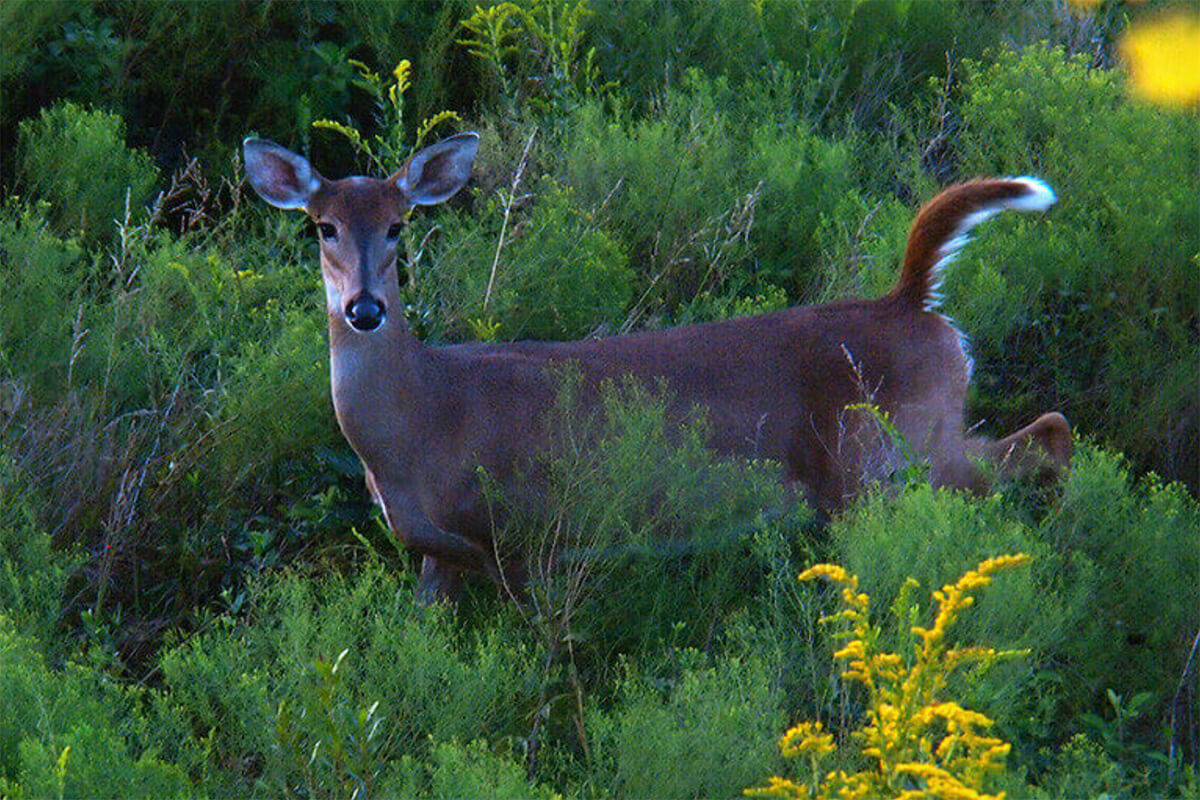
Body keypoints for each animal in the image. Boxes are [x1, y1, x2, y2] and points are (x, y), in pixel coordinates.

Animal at [241, 134, 1070, 604]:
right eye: (322, 227)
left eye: (398, 225)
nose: (365, 309)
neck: (422, 419)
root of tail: (912, 300)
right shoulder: (436, 555)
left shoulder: (528, 536)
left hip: (888, 458)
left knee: (1047, 433)